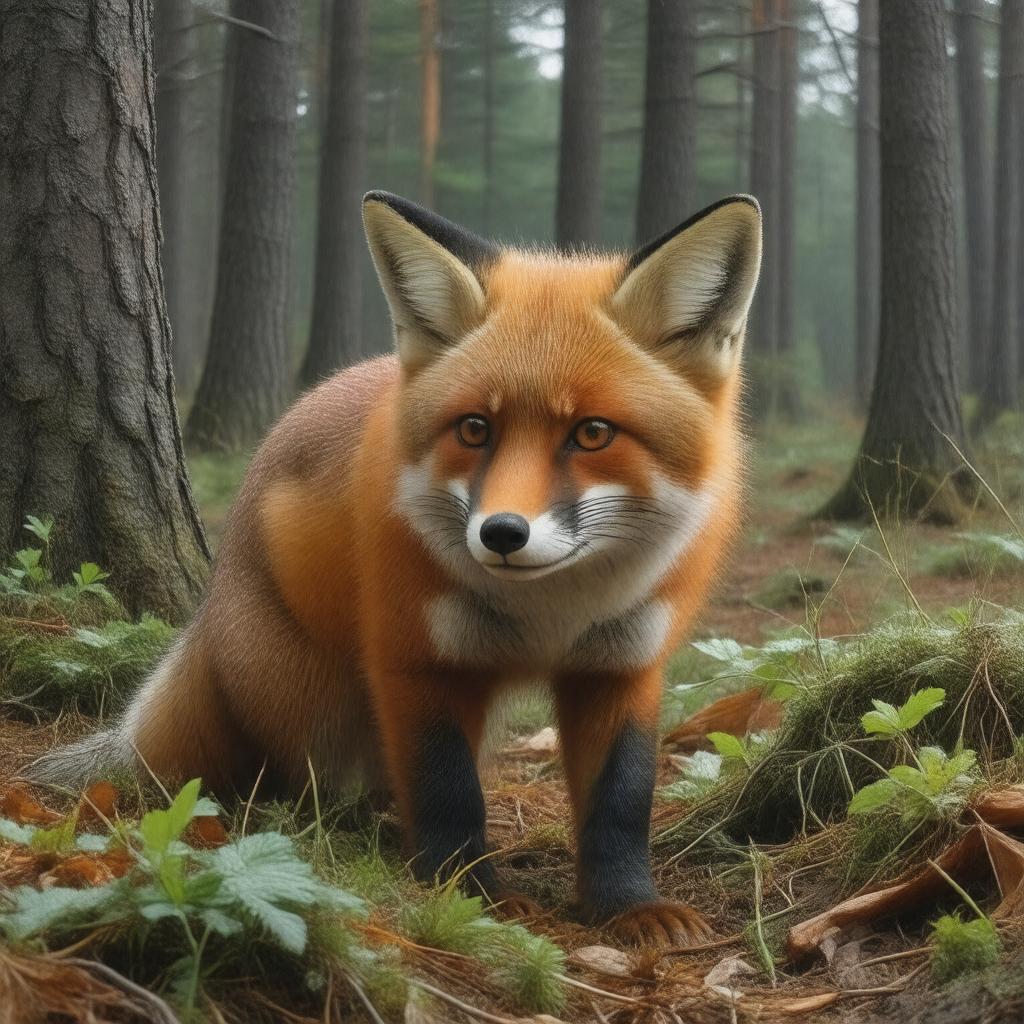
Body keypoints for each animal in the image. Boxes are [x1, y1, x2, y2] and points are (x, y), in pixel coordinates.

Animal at [29, 190, 761, 946]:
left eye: (592, 433)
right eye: (474, 429)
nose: (502, 533)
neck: (551, 614)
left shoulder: (621, 667)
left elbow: (621, 800)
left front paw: (628, 906)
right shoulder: (416, 658)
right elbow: (448, 790)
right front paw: (470, 894)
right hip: (308, 700)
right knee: (286, 780)